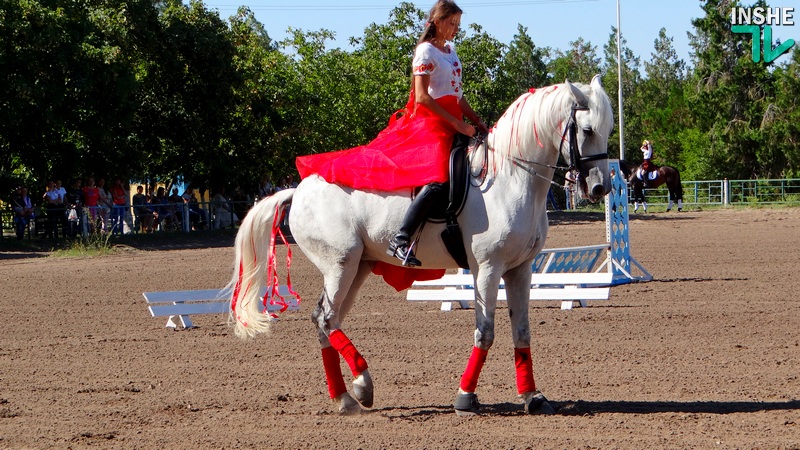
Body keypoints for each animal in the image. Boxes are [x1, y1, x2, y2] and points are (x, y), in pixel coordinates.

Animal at [228, 75, 616, 416]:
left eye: (609, 130)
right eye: (586, 130)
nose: (601, 188)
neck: (510, 178)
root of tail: (298, 189)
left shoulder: (520, 270)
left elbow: (521, 332)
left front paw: (533, 398)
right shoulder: (487, 269)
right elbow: (485, 332)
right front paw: (465, 397)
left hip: (356, 267)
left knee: (325, 319)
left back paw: (347, 396)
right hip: (340, 264)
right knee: (325, 317)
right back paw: (363, 383)